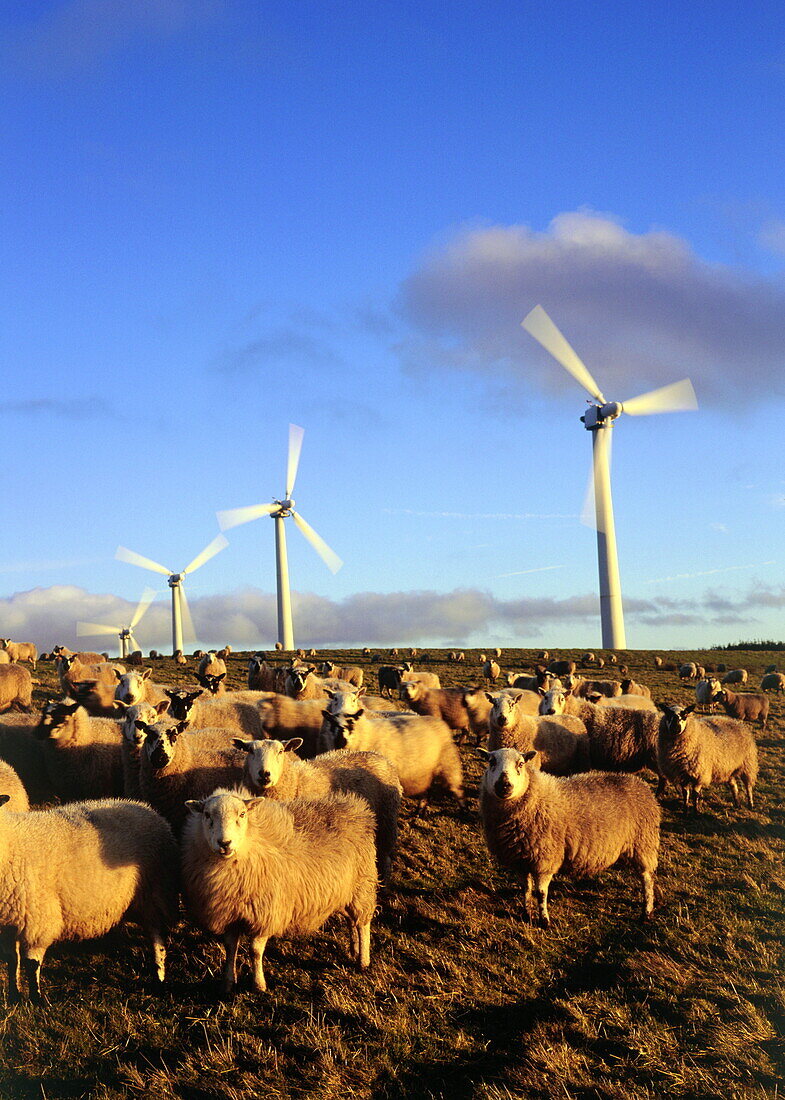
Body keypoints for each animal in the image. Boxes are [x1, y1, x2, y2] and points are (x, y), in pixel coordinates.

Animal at [0, 796, 178, 1003]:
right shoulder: (7, 923)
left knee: (157, 938)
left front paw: (37, 1000)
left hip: (155, 895)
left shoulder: (38, 922)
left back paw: (159, 977)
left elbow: (31, 964)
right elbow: (11, 961)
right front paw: (14, 996)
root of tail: (144, 807)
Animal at [180, 787, 376, 994]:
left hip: (361, 887)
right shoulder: (229, 913)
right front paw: (227, 983)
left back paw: (363, 960)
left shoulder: (265, 913)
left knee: (363, 924)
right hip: (344, 893)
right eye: (207, 815)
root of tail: (355, 805)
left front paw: (259, 985)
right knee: (351, 921)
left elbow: (255, 951)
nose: (225, 843)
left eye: (242, 814)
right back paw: (354, 950)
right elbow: (230, 948)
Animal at [234, 734, 400, 880]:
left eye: (280, 751)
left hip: (387, 821)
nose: (264, 774)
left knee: (385, 857)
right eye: (250, 750)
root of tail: (379, 756)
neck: (296, 782)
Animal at [477, 748, 659, 928]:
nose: (504, 785)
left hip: (644, 845)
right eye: (491, 762)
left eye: (521, 764)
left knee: (647, 879)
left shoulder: (545, 860)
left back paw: (647, 913)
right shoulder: (520, 861)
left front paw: (544, 920)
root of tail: (641, 784)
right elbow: (526, 889)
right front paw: (526, 913)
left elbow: (541, 892)